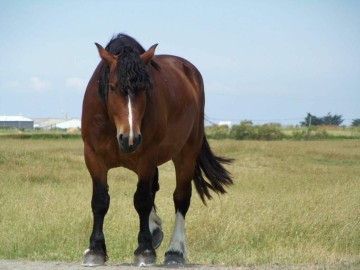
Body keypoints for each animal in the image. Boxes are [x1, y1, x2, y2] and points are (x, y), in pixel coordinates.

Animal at [81, 33, 233, 266]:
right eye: (113, 87)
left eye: (144, 88)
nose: (130, 138)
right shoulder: (93, 157)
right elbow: (100, 201)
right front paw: (95, 250)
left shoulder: (147, 157)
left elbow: (142, 200)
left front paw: (144, 251)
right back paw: (155, 232)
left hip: (186, 153)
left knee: (181, 198)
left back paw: (175, 251)